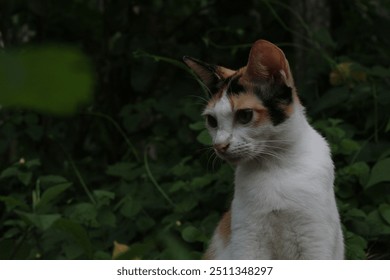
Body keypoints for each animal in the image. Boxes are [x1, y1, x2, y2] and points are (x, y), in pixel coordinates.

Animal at [184, 39, 344, 260]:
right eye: (212, 121)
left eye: (245, 115)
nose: (219, 145)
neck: (275, 165)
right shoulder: (247, 240)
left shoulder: (314, 239)